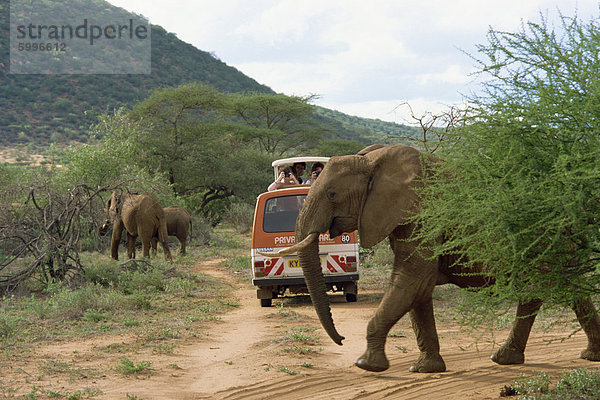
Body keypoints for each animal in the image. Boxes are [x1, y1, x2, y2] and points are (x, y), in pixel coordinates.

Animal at [264, 145, 600, 376]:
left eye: (332, 194)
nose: (342, 339)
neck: (373, 161)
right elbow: (417, 289)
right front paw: (426, 369)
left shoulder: (423, 213)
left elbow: (412, 279)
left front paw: (366, 365)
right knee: (555, 289)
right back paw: (513, 358)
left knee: (553, 287)